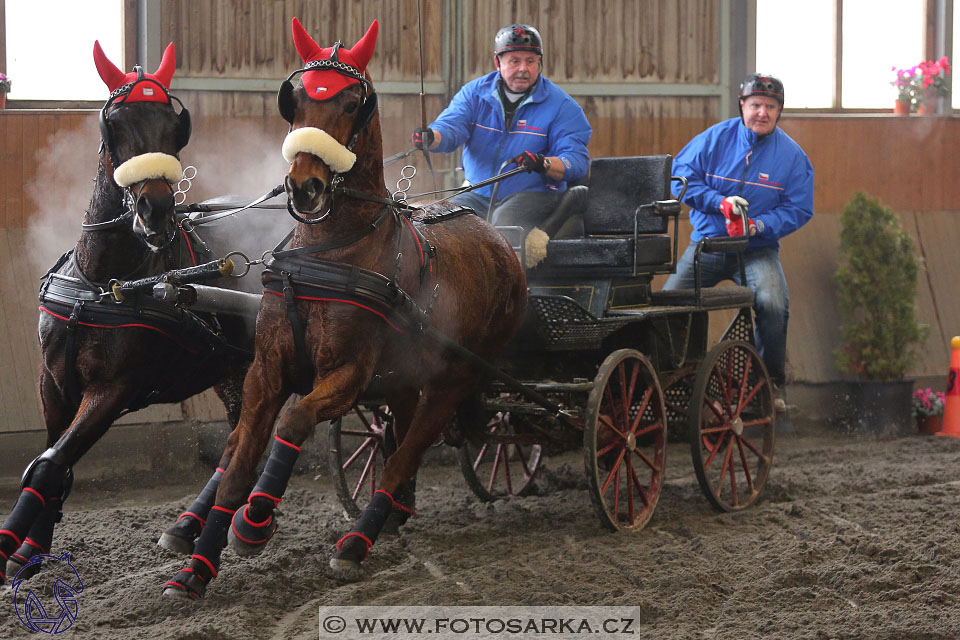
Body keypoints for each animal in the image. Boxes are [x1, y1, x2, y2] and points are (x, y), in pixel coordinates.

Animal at [0, 42, 255, 588]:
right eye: (114, 124)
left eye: (175, 126)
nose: (155, 210)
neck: (102, 282)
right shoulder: (52, 382)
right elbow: (53, 460)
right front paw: (31, 549)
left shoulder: (114, 389)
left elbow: (48, 464)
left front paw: (11, 544)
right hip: (231, 369)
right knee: (236, 440)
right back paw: (186, 527)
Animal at [163, 20, 524, 600]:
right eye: (297, 99)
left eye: (353, 101)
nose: (304, 187)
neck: (329, 253)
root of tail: (502, 244)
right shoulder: (266, 369)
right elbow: (238, 460)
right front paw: (196, 568)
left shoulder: (348, 375)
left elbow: (295, 420)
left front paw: (254, 523)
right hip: (406, 379)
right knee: (396, 443)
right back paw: (394, 516)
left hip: (454, 378)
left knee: (404, 455)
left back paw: (356, 544)